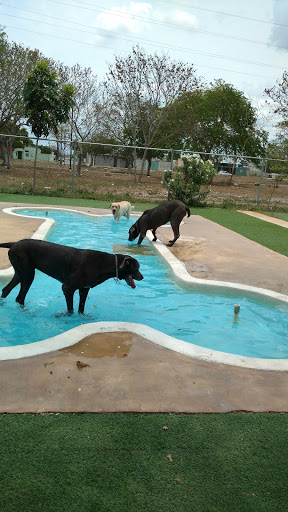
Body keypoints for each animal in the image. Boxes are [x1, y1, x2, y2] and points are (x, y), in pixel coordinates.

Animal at [0, 239, 143, 314]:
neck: (105, 264)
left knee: (6, 290)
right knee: (20, 298)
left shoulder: (84, 289)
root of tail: (14, 243)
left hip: (21, 274)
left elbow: (81, 308)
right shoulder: (67, 288)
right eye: (137, 268)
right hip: (28, 275)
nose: (142, 277)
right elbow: (71, 309)